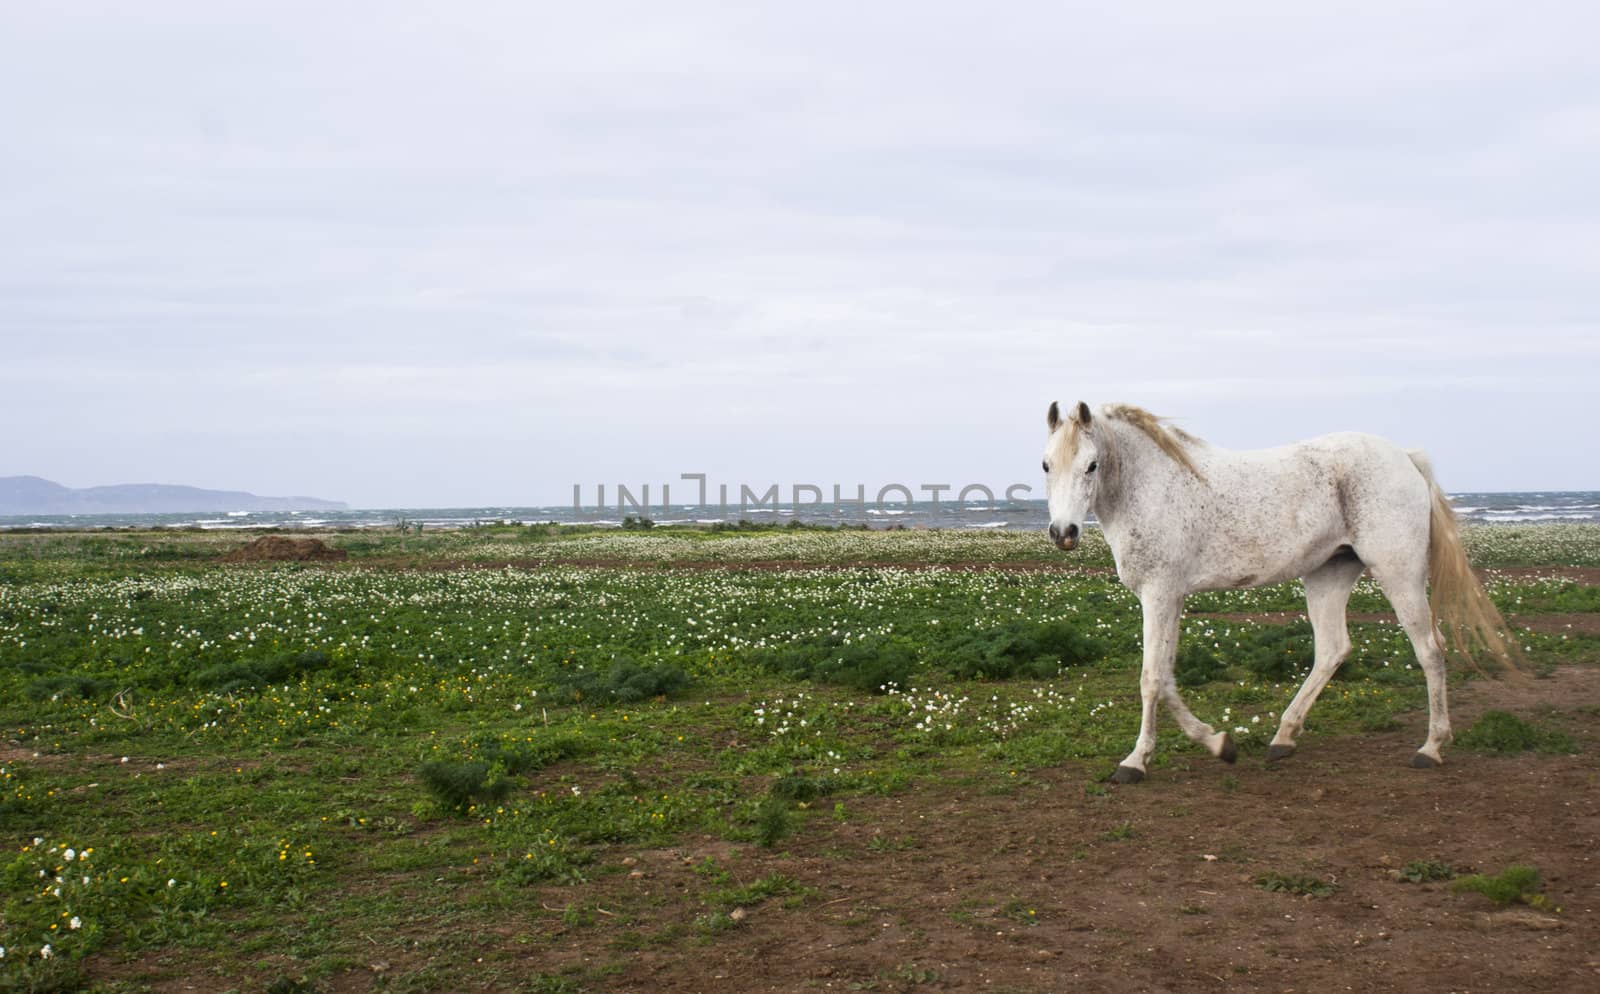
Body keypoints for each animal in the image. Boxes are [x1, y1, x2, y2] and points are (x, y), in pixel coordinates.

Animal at [1043, 398, 1516, 777]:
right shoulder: (1170, 598)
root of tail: (1405, 456)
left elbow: (1152, 678)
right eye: (1047, 464)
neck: (1151, 488)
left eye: (1091, 464)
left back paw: (1431, 748)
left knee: (1430, 650)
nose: (1063, 532)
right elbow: (1167, 676)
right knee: (1332, 650)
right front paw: (1219, 743)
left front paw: (1136, 762)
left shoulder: (1159, 594)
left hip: (1398, 574)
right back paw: (1283, 737)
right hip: (1327, 576)